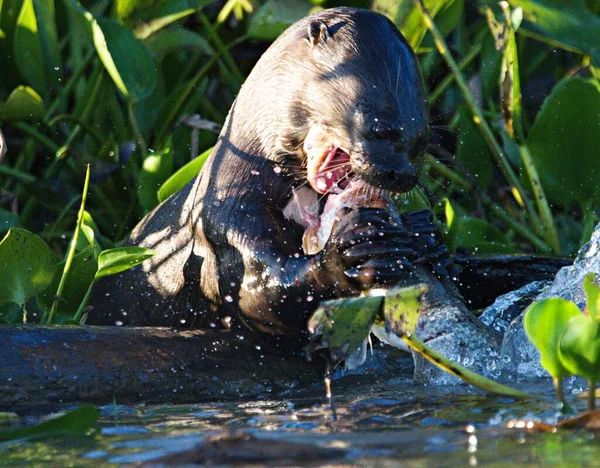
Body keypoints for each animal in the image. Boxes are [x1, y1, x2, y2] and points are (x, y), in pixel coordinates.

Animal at [86, 7, 448, 336]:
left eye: (424, 137)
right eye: (379, 127)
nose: (403, 175)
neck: (244, 173)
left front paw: (427, 237)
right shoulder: (223, 220)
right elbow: (256, 294)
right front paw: (353, 254)